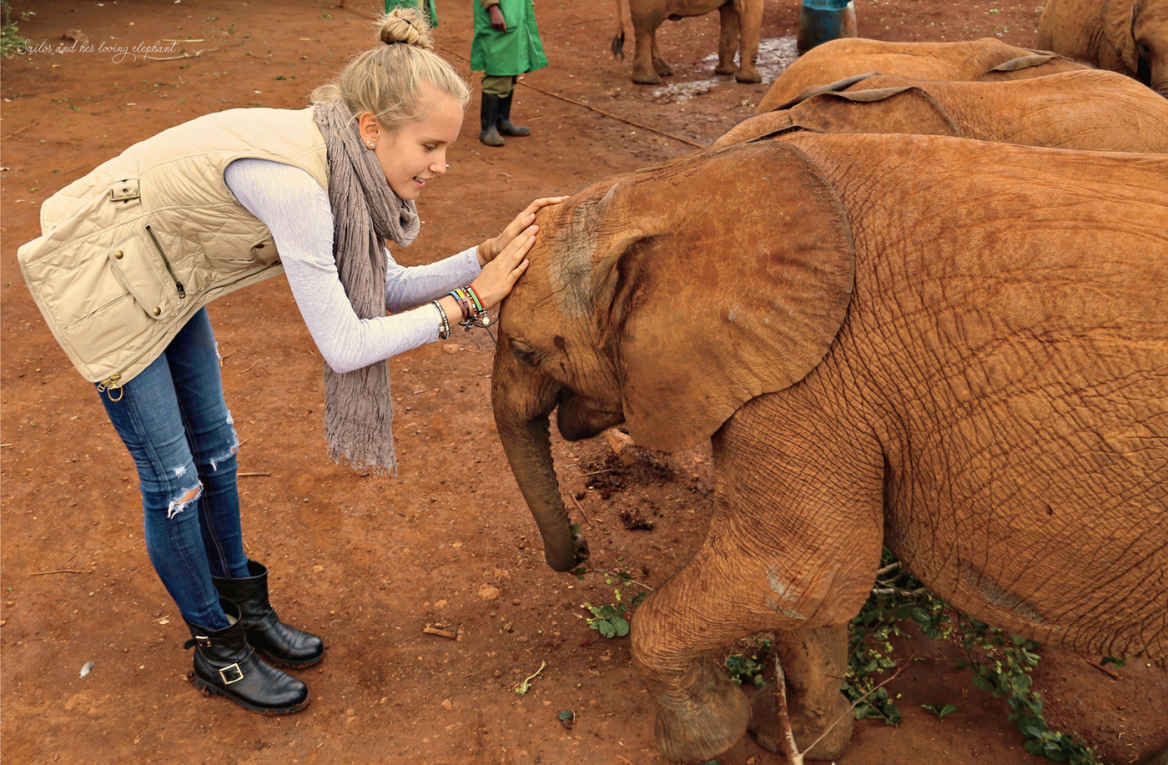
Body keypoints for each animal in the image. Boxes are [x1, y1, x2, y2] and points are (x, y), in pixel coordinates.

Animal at [488, 134, 1163, 761]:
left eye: (527, 351)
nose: (579, 553)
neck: (684, 184)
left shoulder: (813, 377)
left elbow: (804, 569)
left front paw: (708, 737)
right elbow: (814, 603)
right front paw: (803, 742)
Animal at [612, 0, 766, 84]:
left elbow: (730, 11)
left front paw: (728, 71)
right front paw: (752, 80)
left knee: (649, 28)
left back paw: (662, 72)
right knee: (646, 28)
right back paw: (649, 80)